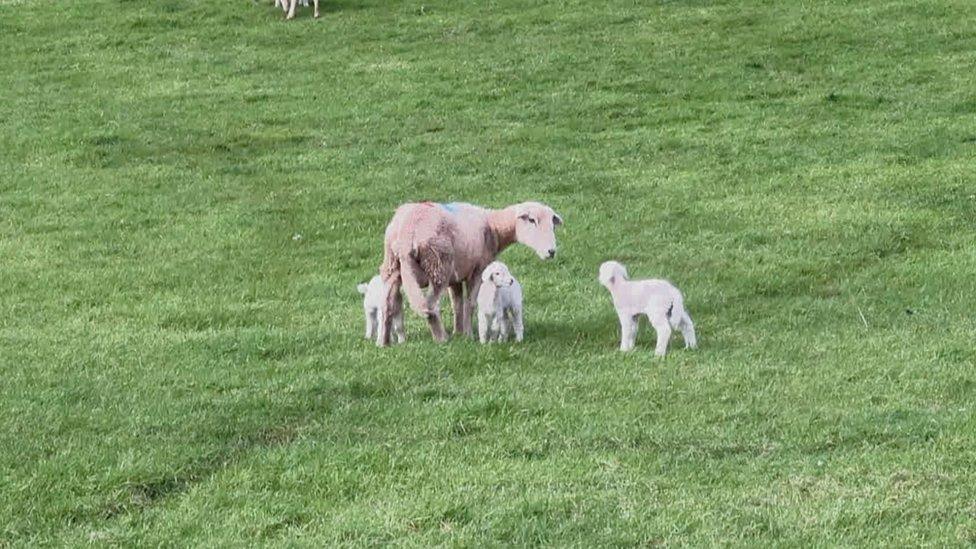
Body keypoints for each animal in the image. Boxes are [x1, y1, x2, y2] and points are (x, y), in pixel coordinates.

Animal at [378, 201, 564, 346]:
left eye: (553, 225)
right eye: (532, 220)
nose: (551, 252)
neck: (493, 227)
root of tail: (407, 233)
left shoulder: (456, 276)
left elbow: (457, 304)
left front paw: (458, 331)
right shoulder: (478, 269)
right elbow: (470, 303)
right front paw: (468, 334)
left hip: (392, 265)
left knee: (387, 304)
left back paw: (383, 342)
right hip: (439, 264)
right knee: (430, 306)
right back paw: (441, 338)